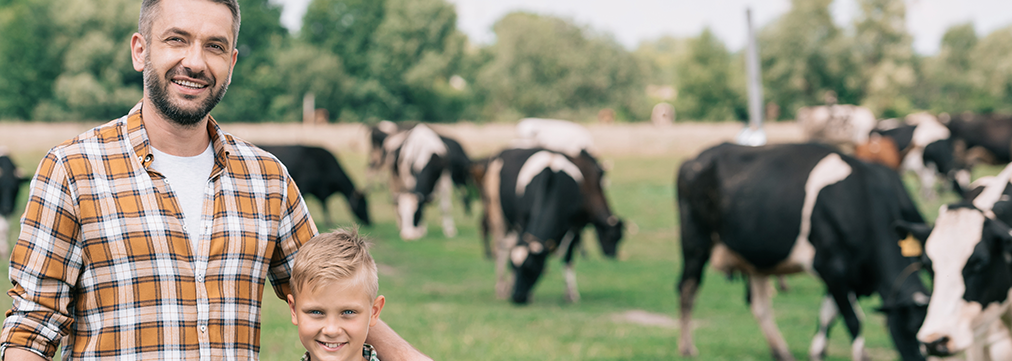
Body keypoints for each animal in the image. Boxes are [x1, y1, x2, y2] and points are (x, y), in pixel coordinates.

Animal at [483, 146, 623, 303]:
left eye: (531, 267)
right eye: (512, 266)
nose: (517, 298)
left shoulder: (575, 226)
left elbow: (568, 258)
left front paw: (570, 294)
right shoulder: (523, 219)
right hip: (498, 216)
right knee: (500, 250)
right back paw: (501, 288)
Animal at [676, 141, 926, 359]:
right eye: (911, 329)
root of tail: (696, 158)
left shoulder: (849, 275)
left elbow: (828, 314)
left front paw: (817, 352)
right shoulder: (831, 266)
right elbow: (853, 320)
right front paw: (859, 356)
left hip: (756, 259)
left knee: (760, 306)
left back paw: (781, 352)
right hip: (695, 244)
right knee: (687, 289)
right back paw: (687, 348)